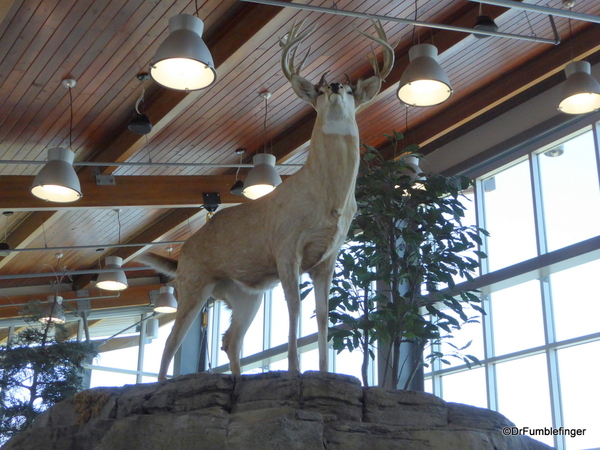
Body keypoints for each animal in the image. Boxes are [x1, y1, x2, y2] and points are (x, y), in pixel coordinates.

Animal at [141, 20, 394, 380]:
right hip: (192, 284)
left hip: (245, 294)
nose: (332, 85)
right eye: (318, 91)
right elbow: (295, 308)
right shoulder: (286, 247)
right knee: (170, 344)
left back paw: (237, 379)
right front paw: (294, 371)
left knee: (229, 340)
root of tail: (179, 256)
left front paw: (323, 373)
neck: (328, 200)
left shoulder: (327, 258)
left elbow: (323, 315)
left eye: (348, 91)